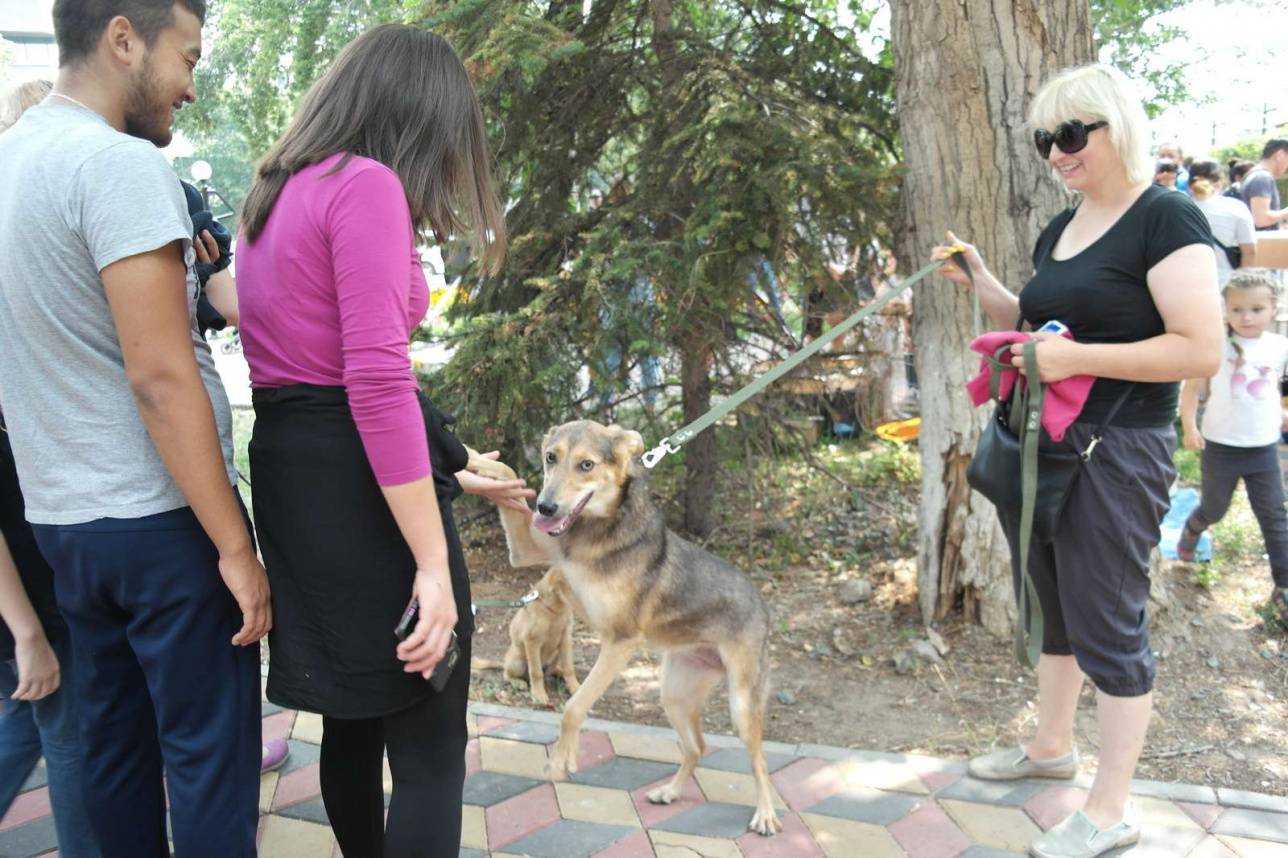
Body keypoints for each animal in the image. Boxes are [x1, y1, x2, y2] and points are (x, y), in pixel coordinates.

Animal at [486, 419, 777, 834]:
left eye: (586, 465)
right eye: (550, 457)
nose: (545, 506)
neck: (593, 533)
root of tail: (763, 606)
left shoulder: (619, 641)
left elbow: (574, 706)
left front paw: (562, 759)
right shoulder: (530, 553)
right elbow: (506, 470)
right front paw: (474, 461)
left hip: (742, 704)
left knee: (760, 761)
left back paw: (766, 814)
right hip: (674, 695)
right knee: (697, 747)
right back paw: (669, 792)